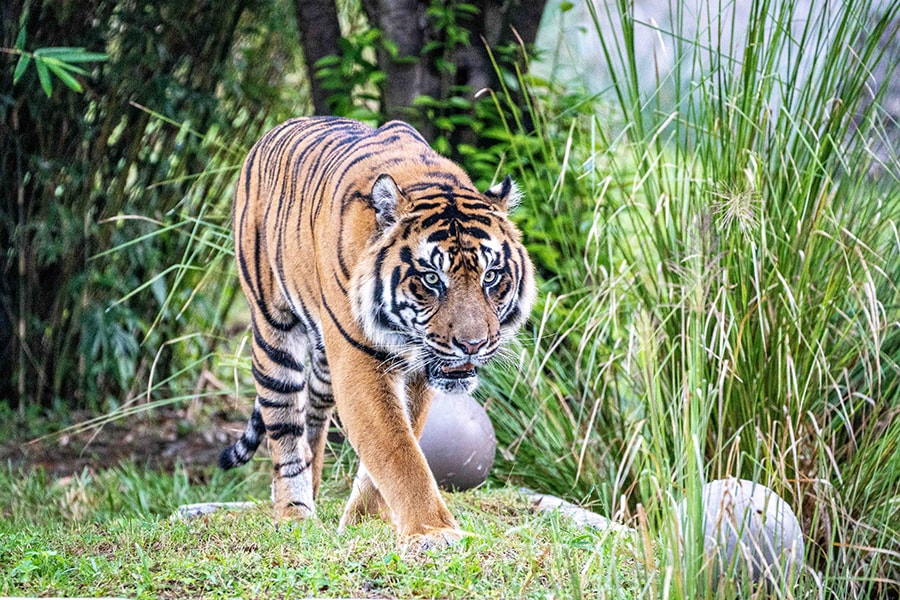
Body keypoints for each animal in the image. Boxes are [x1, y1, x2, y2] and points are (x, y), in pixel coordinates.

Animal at [220, 115, 536, 552]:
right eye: (431, 279)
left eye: (490, 277)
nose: (472, 345)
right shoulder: (360, 363)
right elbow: (396, 449)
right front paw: (433, 531)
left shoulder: (418, 371)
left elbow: (404, 437)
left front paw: (364, 522)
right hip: (274, 330)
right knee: (284, 424)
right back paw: (295, 513)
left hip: (324, 360)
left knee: (313, 417)